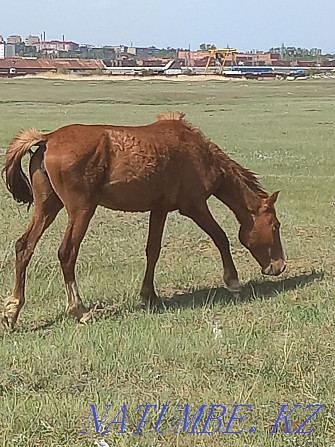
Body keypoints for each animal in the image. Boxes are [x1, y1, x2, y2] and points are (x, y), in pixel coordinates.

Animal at [1, 112, 286, 328]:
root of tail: (47, 139)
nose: (279, 266)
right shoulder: (194, 206)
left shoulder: (159, 209)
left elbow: (153, 250)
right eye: (275, 226)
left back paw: (12, 311)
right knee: (67, 253)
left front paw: (149, 295)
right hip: (80, 210)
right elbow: (221, 238)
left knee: (24, 247)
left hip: (47, 207)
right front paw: (233, 282)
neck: (197, 152)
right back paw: (79, 310)